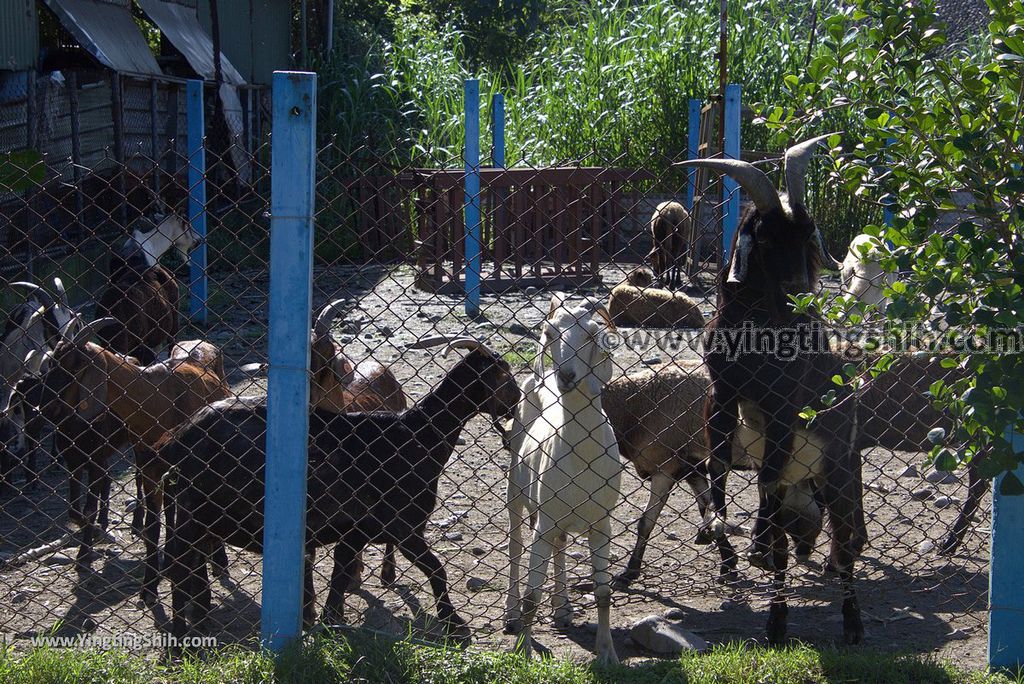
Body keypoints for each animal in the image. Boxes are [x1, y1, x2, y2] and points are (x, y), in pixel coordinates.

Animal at [505, 292, 622, 663]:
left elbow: (603, 592)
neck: (581, 456)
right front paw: (524, 652)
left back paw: (562, 609)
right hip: (516, 490)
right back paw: (510, 615)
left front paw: (607, 653)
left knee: (561, 546)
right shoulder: (542, 526)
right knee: (515, 546)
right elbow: (531, 599)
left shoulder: (601, 525)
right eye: (550, 332)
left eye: (590, 334)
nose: (567, 376)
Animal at [675, 135, 868, 647]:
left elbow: (763, 475)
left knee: (845, 546)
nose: (800, 287)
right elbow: (717, 463)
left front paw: (752, 544)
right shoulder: (721, 395)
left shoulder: (783, 406)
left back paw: (853, 626)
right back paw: (776, 625)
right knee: (788, 549)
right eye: (764, 237)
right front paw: (715, 528)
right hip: (802, 487)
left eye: (807, 236)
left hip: (839, 476)